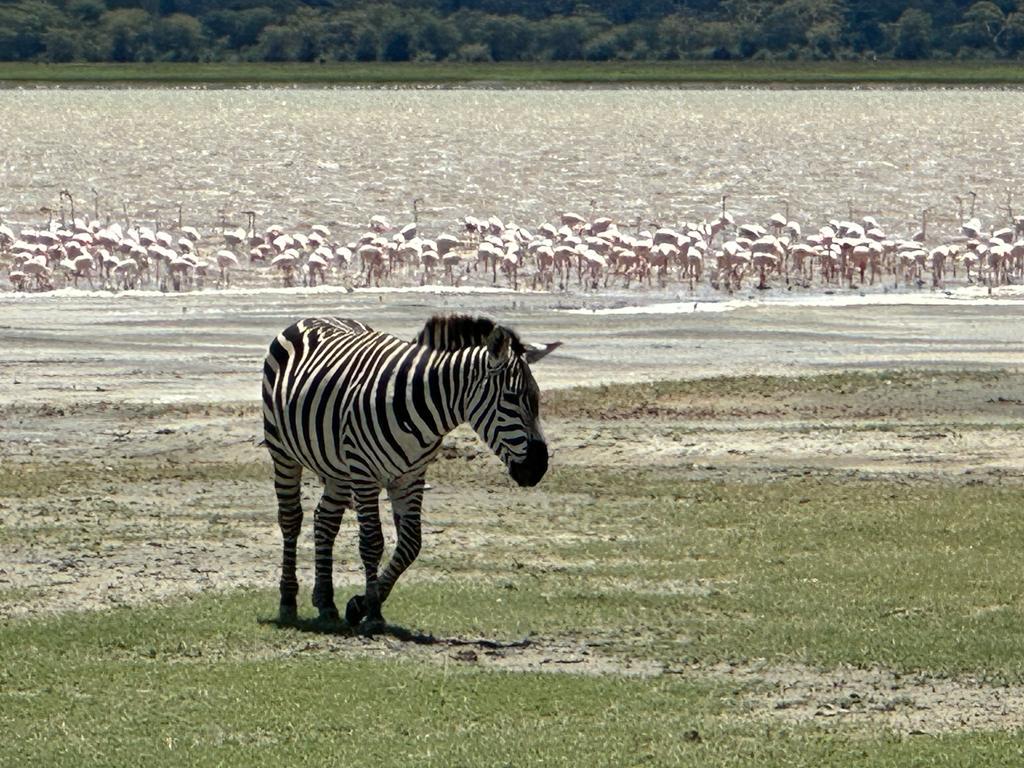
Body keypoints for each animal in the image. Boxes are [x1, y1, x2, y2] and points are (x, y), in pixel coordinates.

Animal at [258, 315, 561, 626]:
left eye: (537, 397)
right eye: (511, 398)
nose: (538, 468)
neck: (420, 404)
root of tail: (314, 317)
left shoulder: (411, 476)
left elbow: (410, 544)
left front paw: (361, 604)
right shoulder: (365, 473)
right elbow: (372, 542)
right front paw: (373, 613)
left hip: (338, 470)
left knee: (325, 520)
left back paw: (326, 603)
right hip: (282, 451)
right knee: (291, 519)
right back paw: (288, 601)